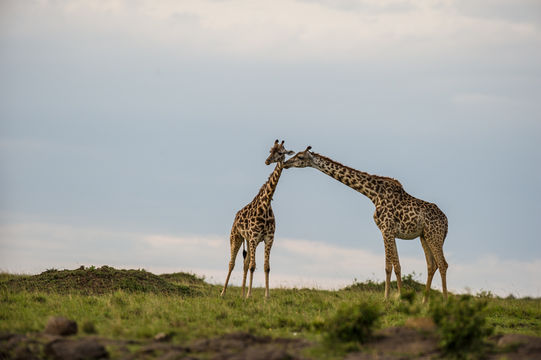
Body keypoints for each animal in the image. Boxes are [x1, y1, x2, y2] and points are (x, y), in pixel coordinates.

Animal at [220, 139, 296, 300]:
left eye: (281, 152)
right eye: (270, 151)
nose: (267, 161)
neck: (265, 206)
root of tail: (236, 215)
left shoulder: (268, 238)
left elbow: (266, 267)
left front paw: (266, 296)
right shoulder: (255, 237)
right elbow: (253, 266)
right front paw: (250, 295)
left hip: (248, 241)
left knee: (245, 262)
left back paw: (242, 294)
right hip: (236, 236)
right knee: (232, 263)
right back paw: (223, 292)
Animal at [282, 146, 448, 300]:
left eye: (300, 157)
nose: (285, 163)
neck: (374, 194)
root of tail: (446, 222)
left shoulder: (386, 229)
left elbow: (388, 266)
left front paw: (388, 299)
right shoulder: (391, 232)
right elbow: (397, 266)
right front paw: (400, 297)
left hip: (434, 236)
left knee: (442, 264)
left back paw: (445, 301)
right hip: (424, 236)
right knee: (431, 265)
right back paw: (424, 302)